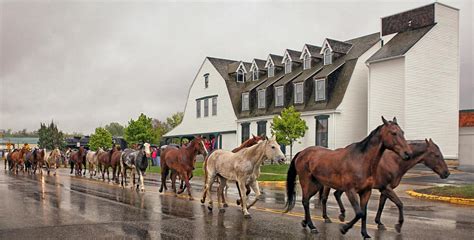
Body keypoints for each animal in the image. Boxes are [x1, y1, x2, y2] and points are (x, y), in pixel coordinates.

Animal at [318, 139, 448, 232]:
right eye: (436, 155)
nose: (446, 173)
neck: (395, 161)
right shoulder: (386, 188)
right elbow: (399, 204)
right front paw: (398, 225)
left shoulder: (384, 189)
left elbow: (381, 206)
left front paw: (379, 223)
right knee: (324, 198)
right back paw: (326, 217)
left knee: (336, 195)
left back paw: (341, 214)